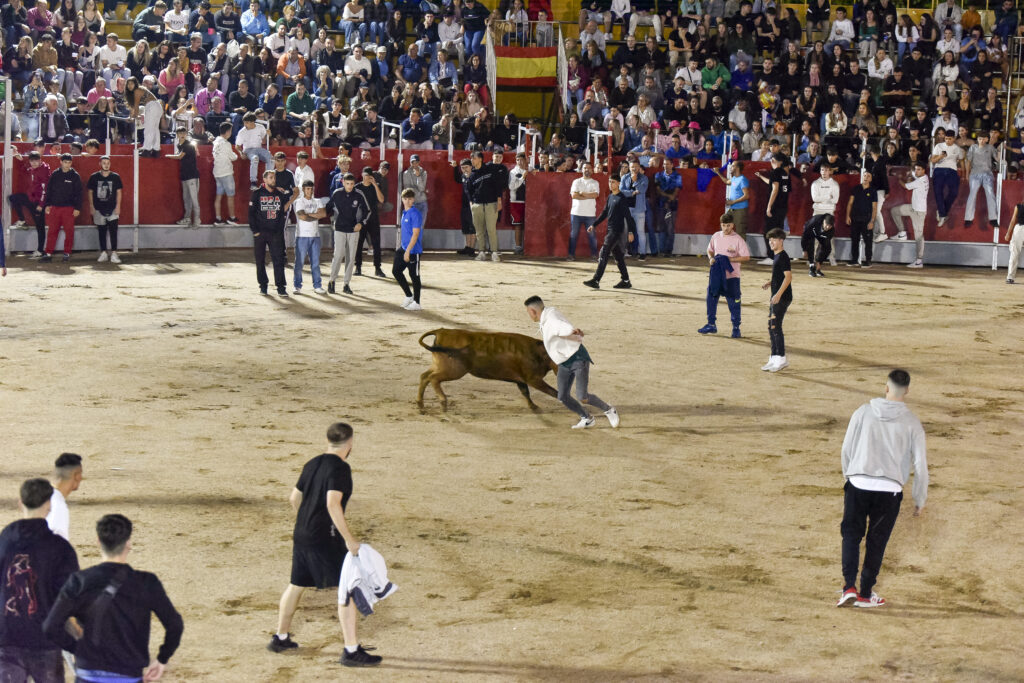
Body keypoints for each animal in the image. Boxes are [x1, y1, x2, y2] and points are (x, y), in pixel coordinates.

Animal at [415, 329, 561, 411]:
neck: (539, 352)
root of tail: (441, 331)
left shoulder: (521, 379)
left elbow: (525, 392)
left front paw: (533, 406)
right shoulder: (533, 379)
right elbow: (553, 392)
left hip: (440, 365)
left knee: (424, 376)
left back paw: (420, 402)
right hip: (454, 370)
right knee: (433, 378)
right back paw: (443, 400)